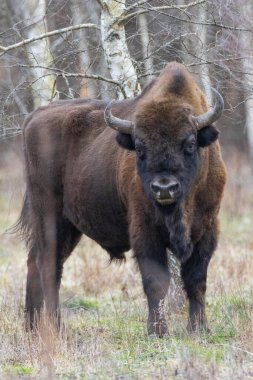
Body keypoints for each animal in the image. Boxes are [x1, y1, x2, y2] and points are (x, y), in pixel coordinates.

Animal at [18, 61, 227, 336]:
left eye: (190, 143)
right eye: (139, 147)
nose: (164, 188)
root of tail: (32, 118)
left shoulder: (207, 230)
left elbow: (196, 281)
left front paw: (199, 328)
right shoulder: (145, 232)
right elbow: (156, 282)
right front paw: (157, 331)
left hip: (69, 226)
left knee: (36, 262)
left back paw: (32, 328)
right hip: (49, 217)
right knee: (49, 267)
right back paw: (57, 328)